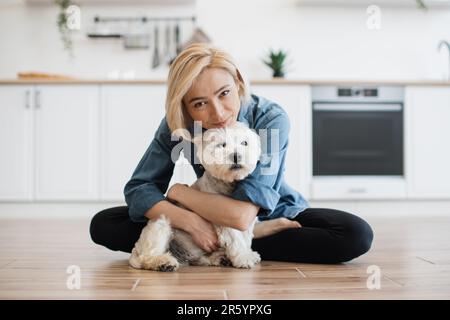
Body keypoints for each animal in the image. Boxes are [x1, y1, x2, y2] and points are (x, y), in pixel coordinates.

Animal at [128, 121, 296, 272]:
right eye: (222, 145)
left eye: (244, 143)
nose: (236, 156)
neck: (228, 184)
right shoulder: (225, 217)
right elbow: (236, 238)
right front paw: (243, 258)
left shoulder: (246, 221)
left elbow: (246, 238)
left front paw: (248, 253)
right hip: (161, 226)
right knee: (147, 255)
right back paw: (163, 262)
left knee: (198, 259)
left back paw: (218, 258)